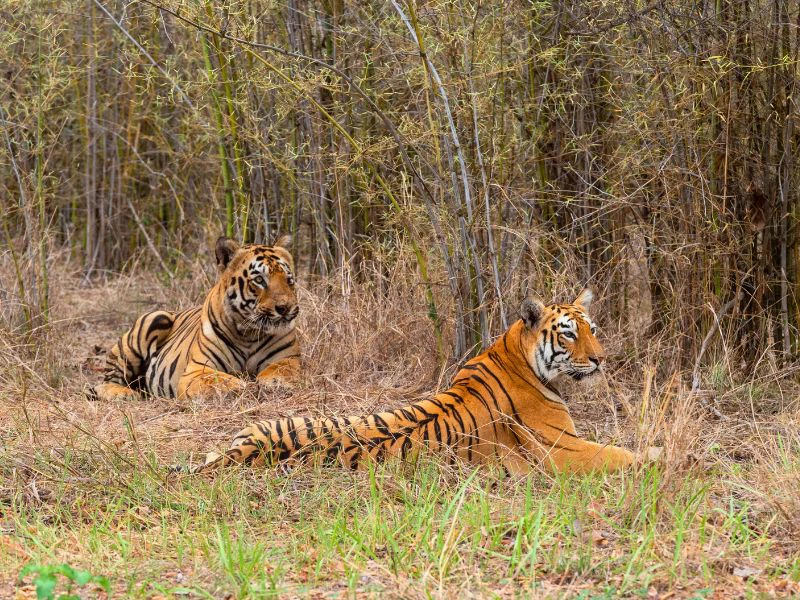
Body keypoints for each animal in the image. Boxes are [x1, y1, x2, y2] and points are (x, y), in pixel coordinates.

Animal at [89, 235, 301, 401]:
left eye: (289, 280)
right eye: (259, 280)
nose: (285, 308)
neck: (248, 333)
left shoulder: (288, 359)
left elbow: (280, 370)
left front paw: (273, 381)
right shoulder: (197, 369)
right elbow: (219, 379)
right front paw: (240, 386)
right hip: (153, 321)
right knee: (105, 381)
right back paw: (122, 393)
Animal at [181, 289, 651, 475]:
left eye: (593, 328)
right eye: (569, 333)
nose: (601, 359)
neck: (516, 352)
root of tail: (244, 451)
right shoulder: (563, 450)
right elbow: (623, 455)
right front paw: (660, 459)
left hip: (260, 426)